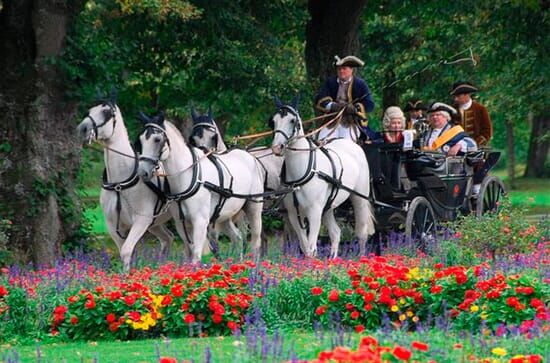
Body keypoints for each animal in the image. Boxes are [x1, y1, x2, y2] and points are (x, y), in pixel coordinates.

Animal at [76, 99, 187, 270]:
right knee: (167, 238)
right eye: (90, 111)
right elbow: (125, 251)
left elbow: (126, 251)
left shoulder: (141, 220)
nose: (82, 129)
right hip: (155, 224)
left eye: (107, 112)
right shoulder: (113, 225)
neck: (119, 182)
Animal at [139, 112, 266, 264]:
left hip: (253, 208)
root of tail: (251, 157)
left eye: (157, 139)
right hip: (224, 216)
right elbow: (189, 254)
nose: (143, 172)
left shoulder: (200, 221)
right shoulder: (181, 224)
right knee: (238, 238)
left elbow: (196, 256)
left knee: (256, 242)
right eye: (141, 140)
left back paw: (253, 266)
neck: (187, 176)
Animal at [270, 96, 378, 256]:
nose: (277, 148)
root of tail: (353, 145)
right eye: (274, 121)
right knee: (336, 233)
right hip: (328, 207)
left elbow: (311, 248)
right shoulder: (294, 215)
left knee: (362, 233)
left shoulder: (314, 212)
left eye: (292, 120)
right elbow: (305, 247)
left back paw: (361, 258)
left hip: (360, 199)